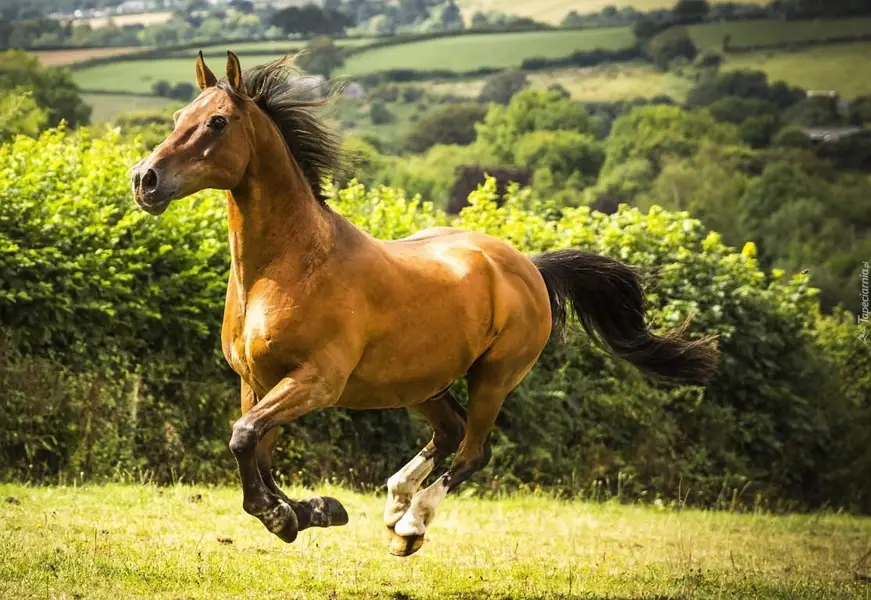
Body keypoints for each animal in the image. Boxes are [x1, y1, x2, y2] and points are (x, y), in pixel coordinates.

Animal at [130, 52, 718, 557]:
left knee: (473, 450)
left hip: (494, 377)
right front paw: (313, 510)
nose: (145, 179)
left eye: (218, 122)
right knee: (450, 431)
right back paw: (395, 501)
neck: (287, 268)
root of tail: (528, 266)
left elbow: (244, 438)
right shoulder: (256, 381)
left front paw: (293, 515)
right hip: (419, 382)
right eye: (180, 115)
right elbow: (254, 448)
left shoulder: (316, 381)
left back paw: (410, 525)